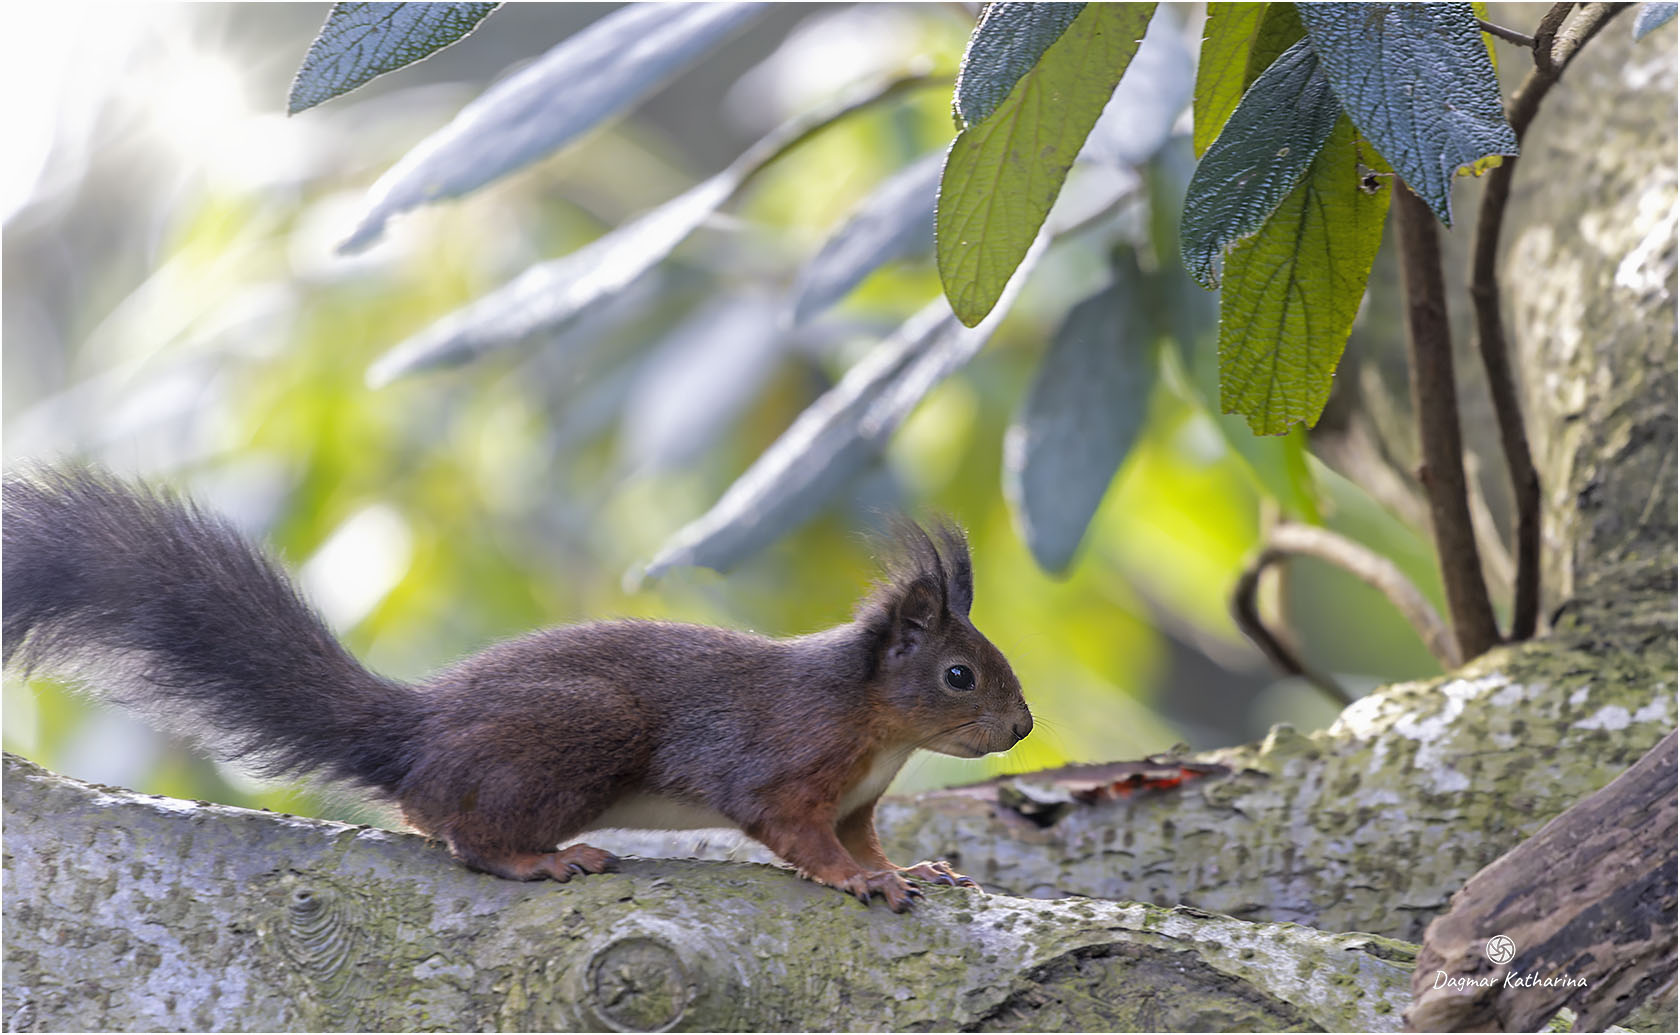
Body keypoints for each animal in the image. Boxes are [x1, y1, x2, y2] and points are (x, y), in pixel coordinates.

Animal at [3, 463, 1034, 907]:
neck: (875, 722)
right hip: (581, 731)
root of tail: (414, 732)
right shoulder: (783, 764)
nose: (1023, 728)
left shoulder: (858, 801)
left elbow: (863, 839)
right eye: (958, 674)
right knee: (463, 833)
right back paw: (541, 859)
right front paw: (861, 884)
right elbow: (794, 833)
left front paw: (911, 870)